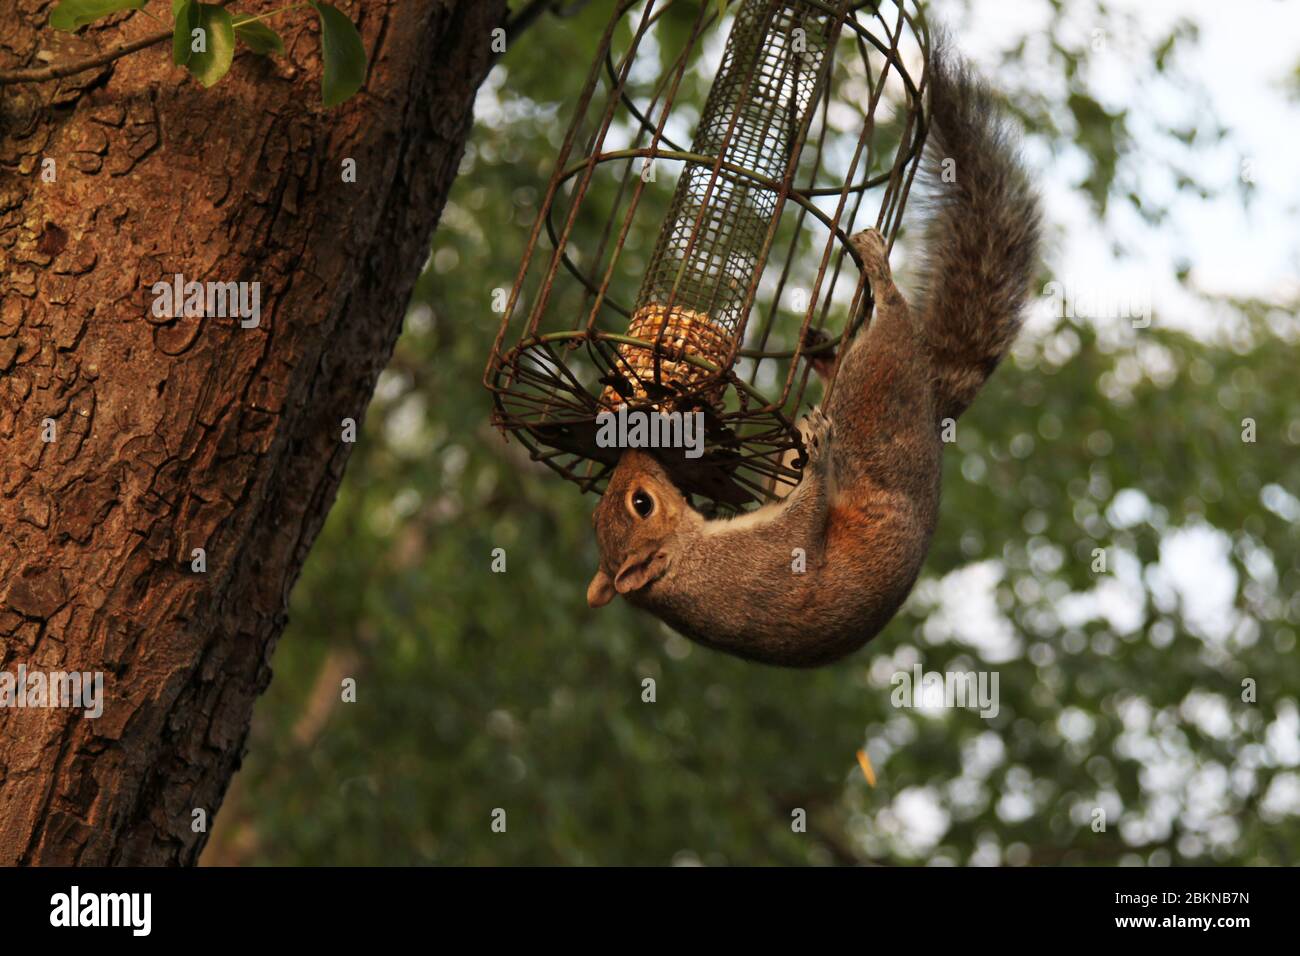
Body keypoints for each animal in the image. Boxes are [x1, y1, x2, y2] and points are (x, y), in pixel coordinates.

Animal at [585, 41, 1040, 671]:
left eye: (617, 504)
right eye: (641, 503)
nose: (633, 453)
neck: (686, 564)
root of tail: (929, 403)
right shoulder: (767, 554)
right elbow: (805, 521)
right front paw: (819, 461)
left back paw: (822, 352)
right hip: (878, 395)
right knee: (888, 331)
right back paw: (877, 277)